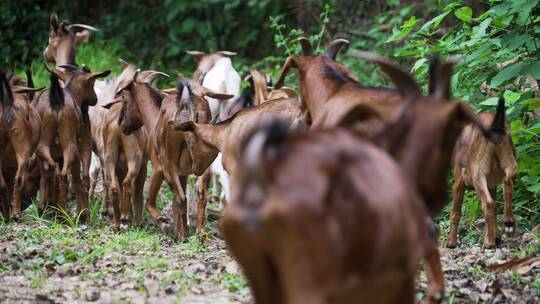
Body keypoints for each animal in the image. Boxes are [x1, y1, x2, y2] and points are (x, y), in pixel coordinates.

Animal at [0, 70, 42, 220]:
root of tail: (8, 102)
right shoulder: (12, 163)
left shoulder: (8, 163)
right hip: (23, 152)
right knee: (17, 181)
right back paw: (15, 214)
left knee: (4, 184)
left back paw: (7, 215)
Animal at [448, 98, 520, 249]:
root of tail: (495, 127)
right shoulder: (491, 185)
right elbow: (494, 213)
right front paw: (496, 237)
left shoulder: (459, 181)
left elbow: (455, 213)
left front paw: (451, 242)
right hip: (511, 164)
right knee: (506, 184)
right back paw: (508, 222)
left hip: (478, 176)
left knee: (488, 203)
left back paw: (488, 242)